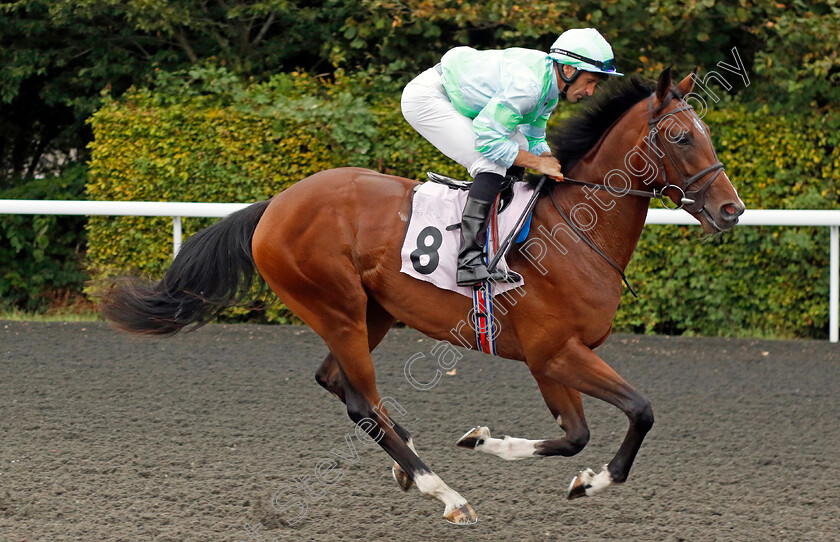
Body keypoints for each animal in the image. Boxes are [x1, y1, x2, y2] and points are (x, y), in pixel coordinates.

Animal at [101, 69, 744, 528]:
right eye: (682, 136)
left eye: (707, 134)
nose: (731, 209)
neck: (575, 233)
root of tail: (276, 205)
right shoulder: (556, 351)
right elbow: (640, 410)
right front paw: (597, 480)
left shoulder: (552, 358)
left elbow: (574, 435)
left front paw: (493, 443)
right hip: (336, 308)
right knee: (361, 400)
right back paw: (444, 492)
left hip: (374, 312)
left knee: (338, 384)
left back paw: (406, 462)